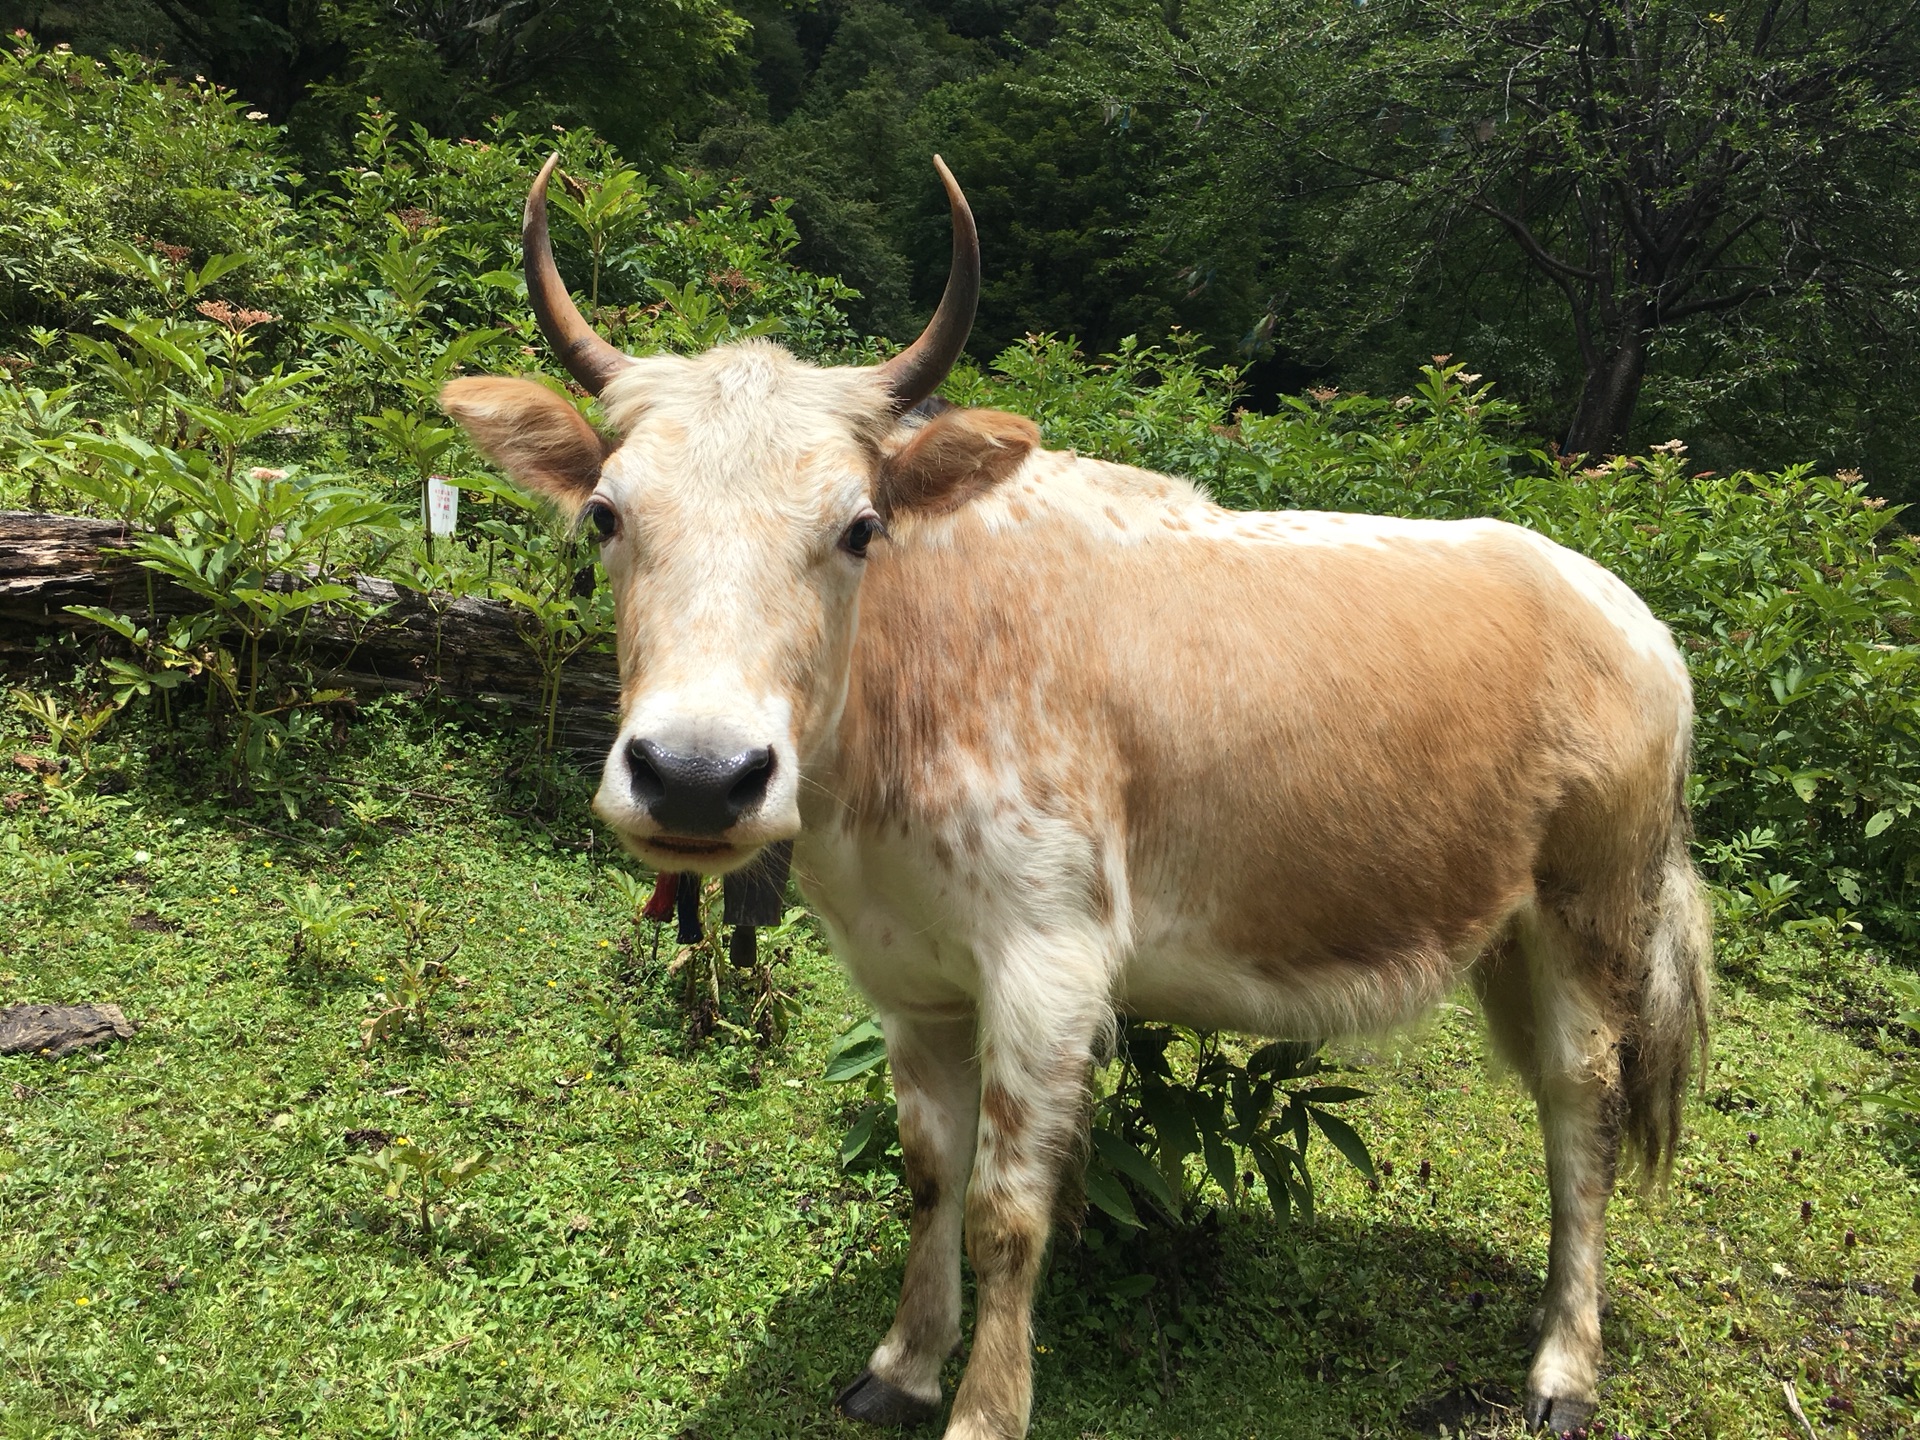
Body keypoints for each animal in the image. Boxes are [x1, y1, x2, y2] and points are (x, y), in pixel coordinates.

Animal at [445, 157, 1712, 1440]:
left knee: (1585, 1114)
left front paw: (981, 1410)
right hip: (1510, 932)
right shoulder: (910, 979)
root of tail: (1626, 610)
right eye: (606, 515)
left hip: (1594, 914)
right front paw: (903, 1364)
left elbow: (1009, 1210)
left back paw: (1562, 1370)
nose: (699, 777)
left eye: (859, 526)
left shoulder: (1050, 962)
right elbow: (929, 1173)